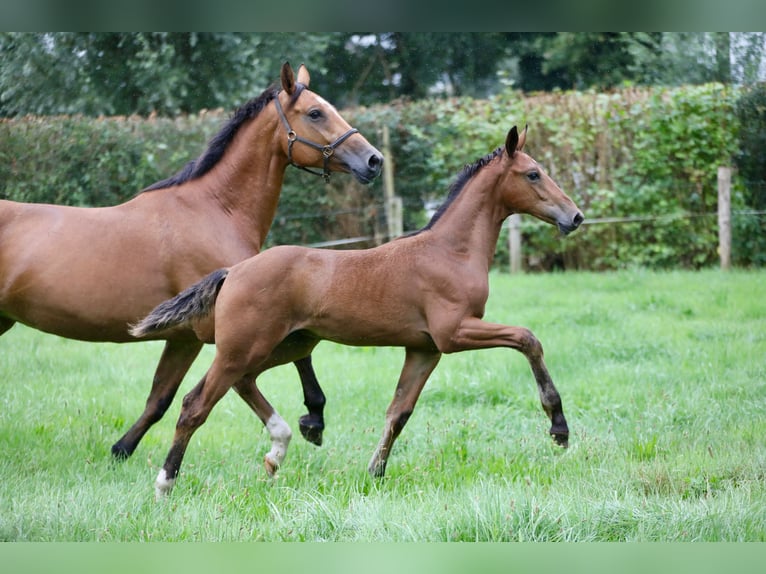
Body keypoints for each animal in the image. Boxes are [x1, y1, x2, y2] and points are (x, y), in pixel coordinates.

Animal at [0, 62, 384, 460]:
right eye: (315, 113)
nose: (374, 160)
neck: (214, 209)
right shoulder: (232, 325)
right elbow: (278, 365)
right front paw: (313, 418)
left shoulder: (185, 336)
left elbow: (160, 399)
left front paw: (121, 450)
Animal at [132, 125, 584, 496]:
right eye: (533, 174)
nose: (575, 216)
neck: (450, 251)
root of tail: (234, 271)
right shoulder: (454, 332)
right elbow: (527, 338)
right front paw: (558, 428)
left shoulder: (425, 349)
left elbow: (399, 411)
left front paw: (374, 473)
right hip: (244, 347)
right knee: (195, 404)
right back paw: (166, 483)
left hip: (286, 345)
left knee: (243, 383)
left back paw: (280, 449)